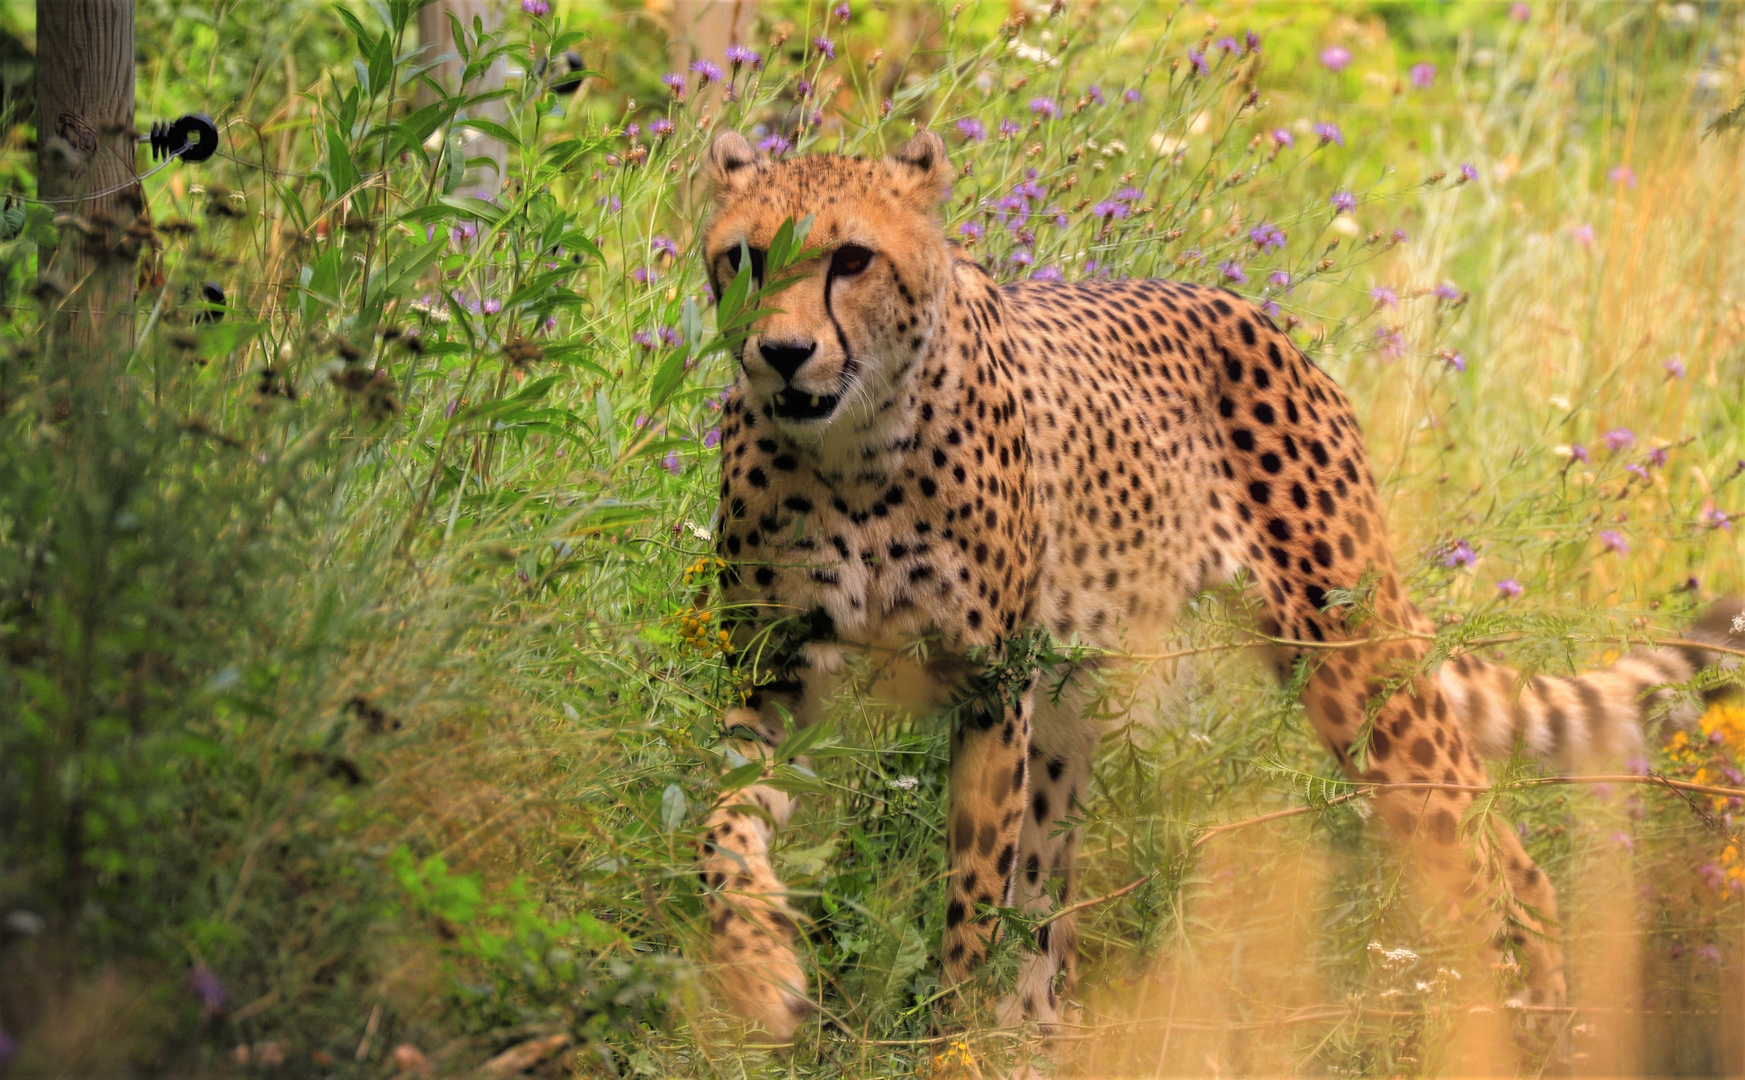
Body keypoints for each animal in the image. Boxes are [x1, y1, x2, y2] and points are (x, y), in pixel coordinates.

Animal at [687, 129, 1738, 1046]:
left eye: (850, 258)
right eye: (744, 259)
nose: (782, 354)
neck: (852, 454)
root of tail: (1255, 315)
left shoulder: (990, 689)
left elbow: (973, 900)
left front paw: (945, 1041)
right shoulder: (776, 677)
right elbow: (719, 823)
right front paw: (755, 969)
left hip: (1350, 668)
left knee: (1491, 850)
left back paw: (1523, 1024)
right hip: (1079, 705)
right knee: (1050, 918)